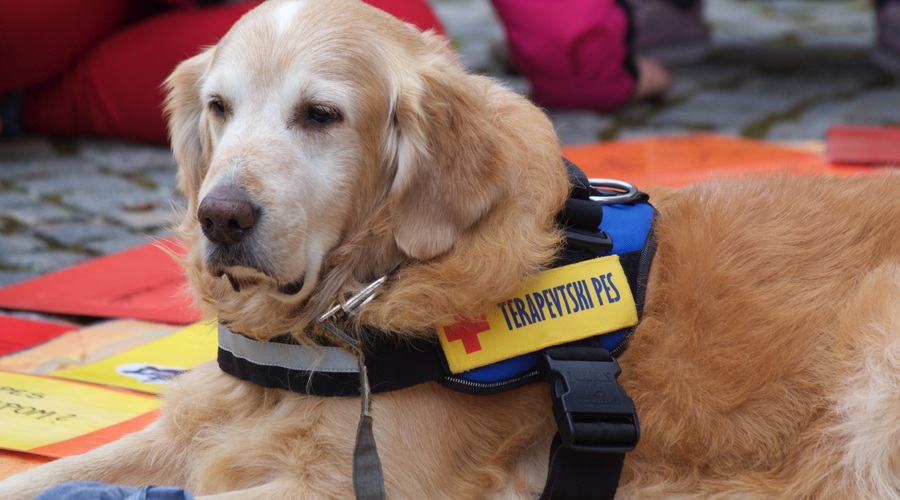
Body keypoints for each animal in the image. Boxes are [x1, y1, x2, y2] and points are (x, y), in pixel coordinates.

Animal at [1, 0, 900, 498]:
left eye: (320, 115)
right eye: (219, 107)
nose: (220, 217)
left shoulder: (367, 482)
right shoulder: (202, 424)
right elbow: (34, 476)